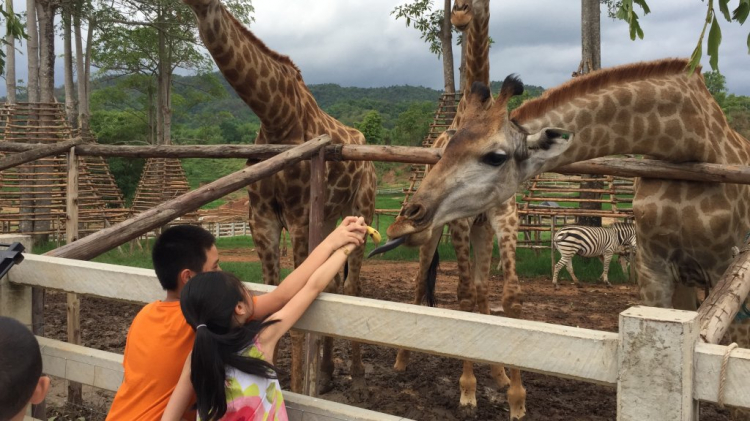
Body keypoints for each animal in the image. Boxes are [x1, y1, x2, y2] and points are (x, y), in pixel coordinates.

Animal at [184, 0, 378, 396]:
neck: (275, 116)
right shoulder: (262, 218)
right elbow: (274, 294)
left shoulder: (300, 216)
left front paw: (301, 387)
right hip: (331, 216)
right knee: (335, 284)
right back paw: (326, 374)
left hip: (361, 206)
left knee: (352, 286)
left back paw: (357, 377)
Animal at [390, 0, 524, 416]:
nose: (461, 14)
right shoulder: (460, 223)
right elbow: (463, 295)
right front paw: (467, 391)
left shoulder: (501, 218)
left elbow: (507, 296)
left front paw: (515, 394)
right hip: (431, 233)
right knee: (422, 282)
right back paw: (401, 360)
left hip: (481, 230)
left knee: (481, 292)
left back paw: (497, 372)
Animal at [390, 57, 750, 416]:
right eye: (446, 151)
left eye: (495, 156)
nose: (407, 219)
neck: (689, 145)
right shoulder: (654, 268)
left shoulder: (725, 267)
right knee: (427, 281)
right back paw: (404, 360)